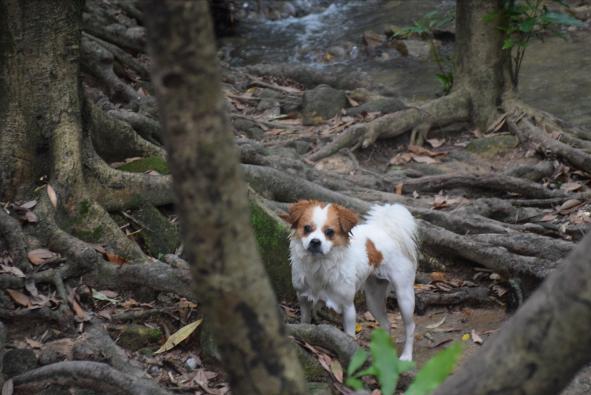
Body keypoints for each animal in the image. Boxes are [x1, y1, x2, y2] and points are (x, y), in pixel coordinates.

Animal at [284, 201, 418, 362]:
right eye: (307, 228)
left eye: (329, 232)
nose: (315, 241)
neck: (320, 265)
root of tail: (387, 231)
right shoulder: (303, 298)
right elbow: (305, 321)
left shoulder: (348, 307)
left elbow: (349, 337)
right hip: (373, 300)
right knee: (386, 324)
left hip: (404, 297)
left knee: (410, 327)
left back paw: (406, 356)